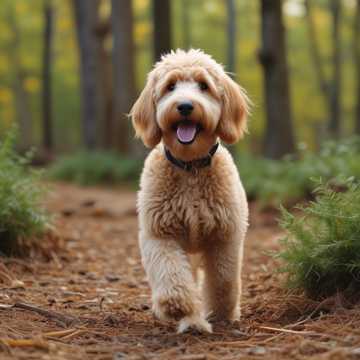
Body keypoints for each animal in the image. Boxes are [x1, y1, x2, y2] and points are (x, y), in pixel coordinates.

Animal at [130, 49, 250, 334]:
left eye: (204, 86)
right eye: (170, 86)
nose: (184, 106)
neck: (190, 168)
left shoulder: (224, 236)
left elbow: (223, 280)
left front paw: (222, 313)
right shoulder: (160, 234)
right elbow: (170, 271)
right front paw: (178, 304)